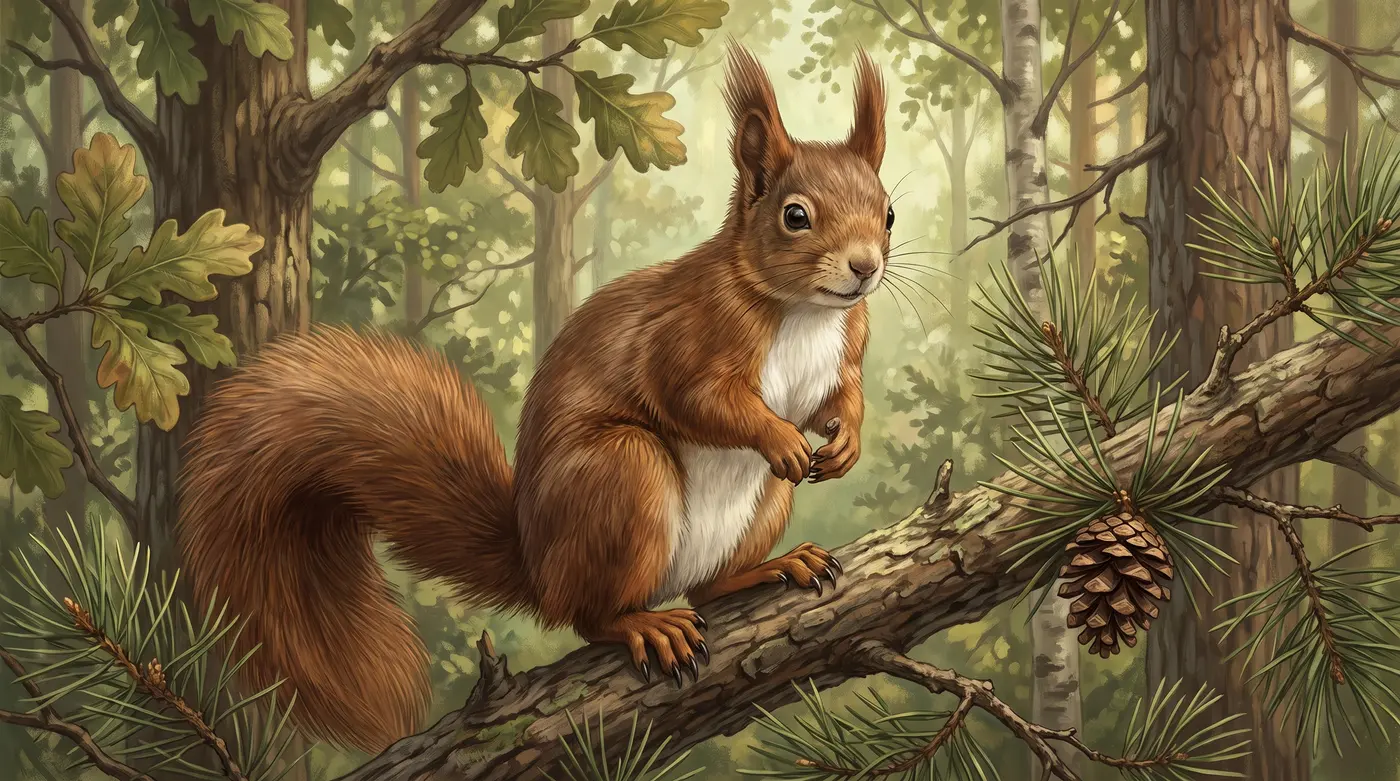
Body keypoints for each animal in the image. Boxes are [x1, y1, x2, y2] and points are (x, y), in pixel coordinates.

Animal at [176, 44, 891, 753]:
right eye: (795, 216)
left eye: (886, 211)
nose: (866, 268)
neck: (804, 312)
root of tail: (539, 568)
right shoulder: (685, 338)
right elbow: (697, 400)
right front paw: (779, 436)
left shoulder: (844, 353)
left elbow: (840, 398)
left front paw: (847, 441)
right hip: (620, 474)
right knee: (589, 614)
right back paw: (645, 624)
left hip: (758, 505)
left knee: (709, 586)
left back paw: (775, 567)